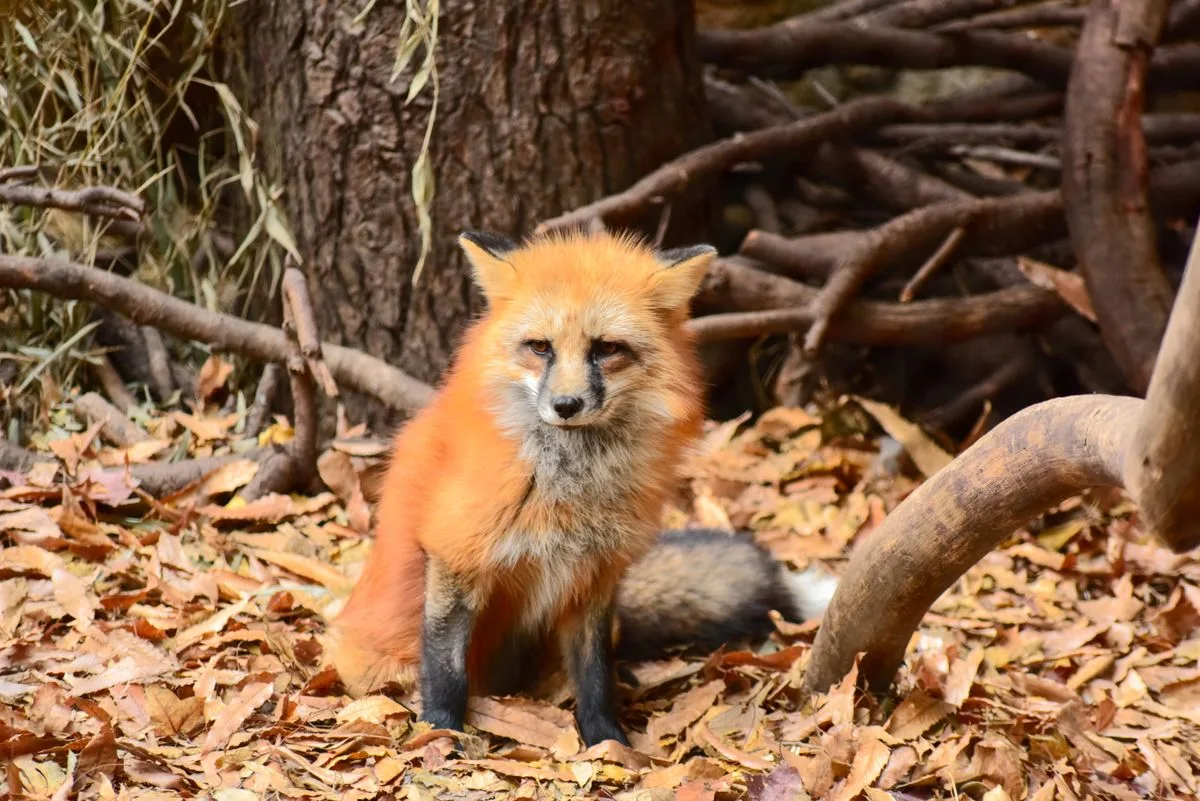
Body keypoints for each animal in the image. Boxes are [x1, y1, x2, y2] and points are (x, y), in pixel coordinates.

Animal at [326, 228, 838, 747]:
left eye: (606, 348)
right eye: (539, 347)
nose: (566, 405)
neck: (567, 487)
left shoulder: (594, 573)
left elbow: (594, 672)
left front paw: (606, 740)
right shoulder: (456, 553)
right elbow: (444, 664)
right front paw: (439, 731)